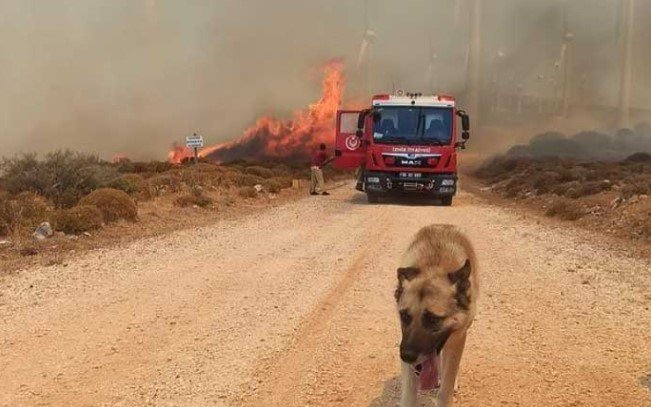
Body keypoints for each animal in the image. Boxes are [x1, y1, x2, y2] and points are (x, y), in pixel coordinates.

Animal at [394, 225, 482, 406]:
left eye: (434, 319)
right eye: (404, 316)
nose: (406, 356)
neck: (433, 268)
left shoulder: (458, 338)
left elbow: (446, 388)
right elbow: (409, 396)